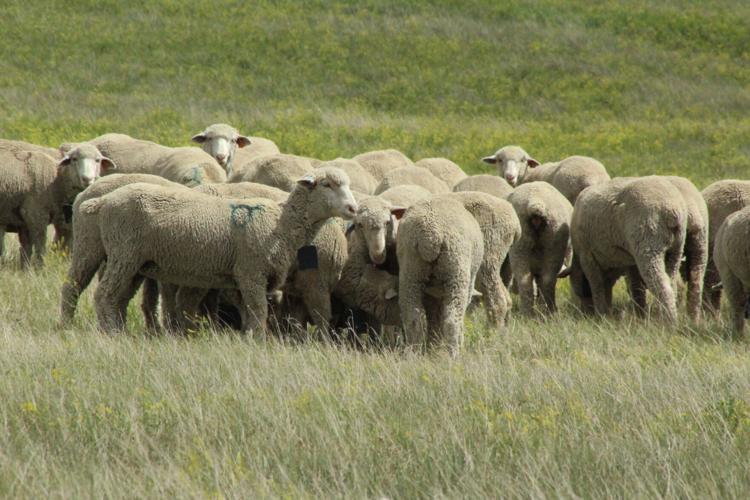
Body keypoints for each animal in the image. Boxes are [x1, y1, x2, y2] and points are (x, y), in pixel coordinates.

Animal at [79, 167, 357, 334]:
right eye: (326, 184)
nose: (353, 209)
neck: (281, 224)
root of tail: (104, 201)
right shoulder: (251, 273)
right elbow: (259, 312)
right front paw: (259, 342)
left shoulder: (243, 279)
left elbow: (249, 314)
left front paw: (248, 339)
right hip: (124, 254)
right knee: (104, 294)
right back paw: (111, 334)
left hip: (136, 262)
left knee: (119, 298)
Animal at [397, 196, 484, 356]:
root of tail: (430, 235)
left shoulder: (431, 293)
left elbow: (434, 317)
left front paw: (433, 344)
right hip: (457, 272)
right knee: (452, 319)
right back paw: (454, 354)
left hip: (410, 271)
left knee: (414, 318)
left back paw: (413, 353)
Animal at [505, 182, 573, 314]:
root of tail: (535, 204)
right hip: (552, 245)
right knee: (547, 280)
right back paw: (548, 310)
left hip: (522, 244)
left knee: (526, 280)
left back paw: (528, 313)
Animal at [568, 177, 687, 322]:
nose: (585, 314)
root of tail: (671, 211)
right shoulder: (630, 261)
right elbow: (636, 288)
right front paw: (639, 315)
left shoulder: (587, 256)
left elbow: (597, 286)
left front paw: (601, 316)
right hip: (676, 248)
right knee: (672, 282)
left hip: (648, 243)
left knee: (662, 285)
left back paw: (669, 321)